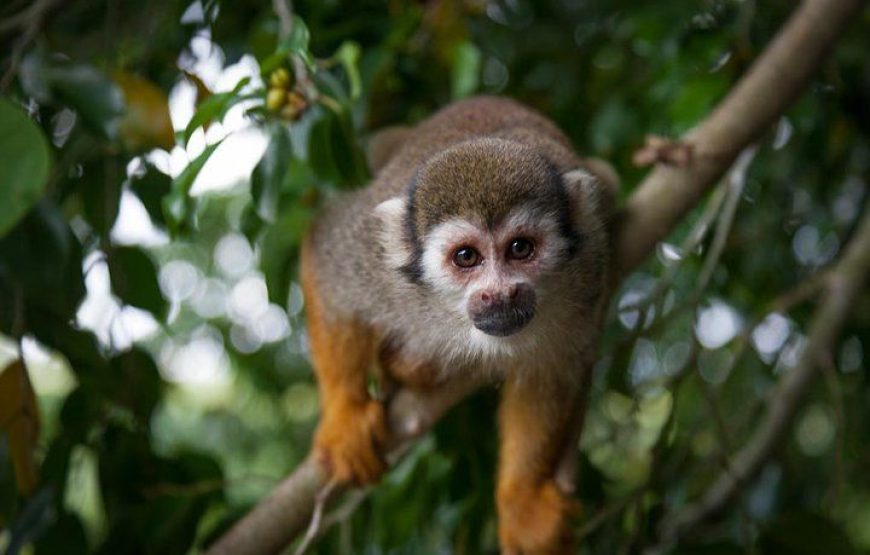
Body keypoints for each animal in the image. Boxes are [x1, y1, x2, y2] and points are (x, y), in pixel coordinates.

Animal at [300, 96, 615, 554]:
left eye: (521, 248)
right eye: (466, 257)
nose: (499, 294)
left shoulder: (588, 266)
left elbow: (550, 370)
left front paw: (521, 501)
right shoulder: (372, 258)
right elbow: (327, 259)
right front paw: (345, 415)